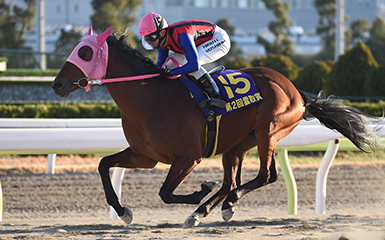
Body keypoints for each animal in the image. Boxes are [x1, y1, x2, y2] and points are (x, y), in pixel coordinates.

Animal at [50, 27, 376, 228]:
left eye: (84, 53)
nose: (57, 84)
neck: (150, 98)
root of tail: (296, 90)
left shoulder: (188, 157)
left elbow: (166, 192)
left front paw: (200, 191)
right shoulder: (145, 156)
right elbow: (104, 165)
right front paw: (123, 211)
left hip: (268, 131)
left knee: (265, 175)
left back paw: (220, 205)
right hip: (237, 144)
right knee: (232, 181)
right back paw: (205, 210)